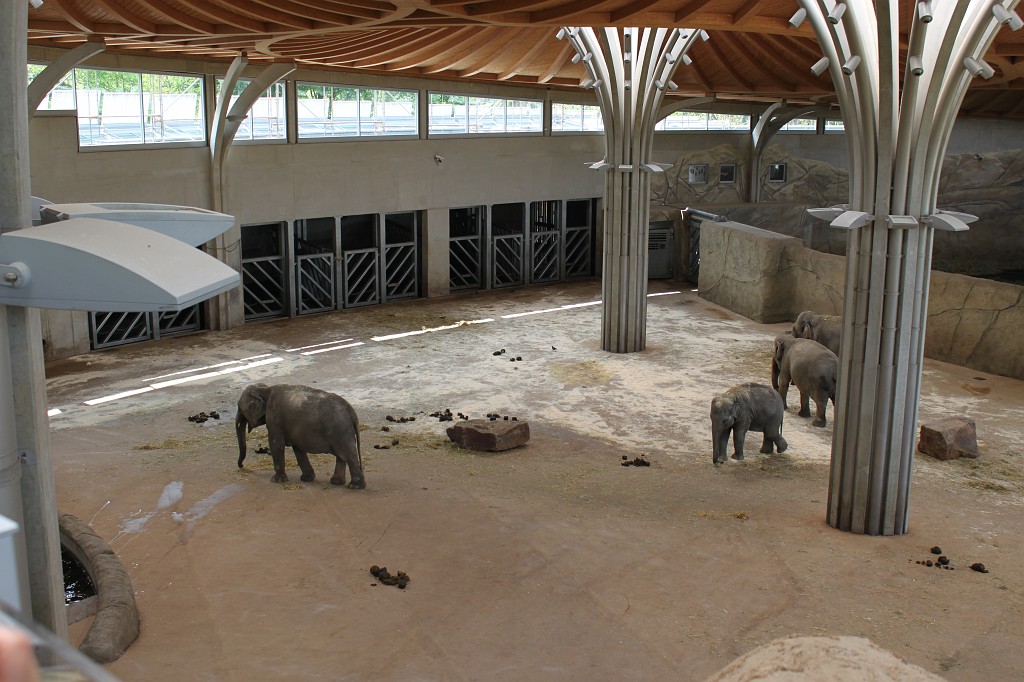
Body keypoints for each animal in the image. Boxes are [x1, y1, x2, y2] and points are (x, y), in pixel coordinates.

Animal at [236, 383, 365, 489]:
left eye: (240, 408)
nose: (242, 466)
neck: (265, 389)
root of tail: (352, 412)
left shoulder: (274, 419)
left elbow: (276, 444)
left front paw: (276, 481)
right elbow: (298, 448)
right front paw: (306, 479)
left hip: (341, 431)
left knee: (349, 456)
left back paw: (355, 486)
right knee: (341, 456)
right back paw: (337, 482)